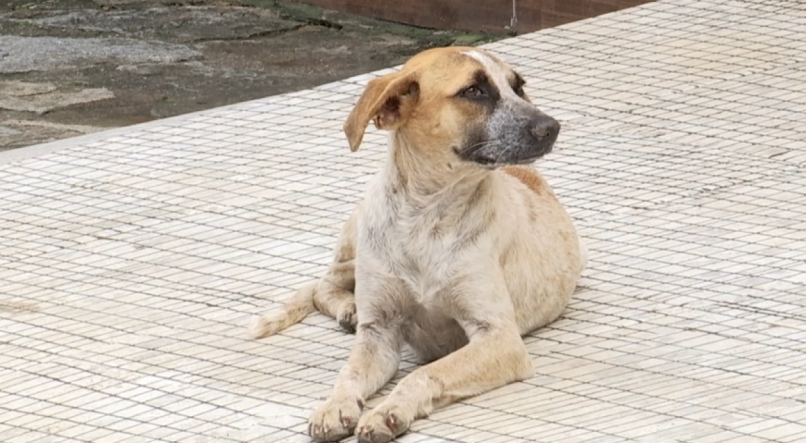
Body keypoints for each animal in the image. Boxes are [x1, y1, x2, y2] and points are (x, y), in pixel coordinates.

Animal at [251, 46, 588, 442]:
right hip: (360, 241)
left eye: (518, 86)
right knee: (324, 282)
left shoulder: (499, 339)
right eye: (474, 91)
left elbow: (425, 373)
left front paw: (388, 410)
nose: (551, 127)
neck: (427, 219)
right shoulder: (379, 335)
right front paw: (335, 405)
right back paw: (349, 309)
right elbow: (348, 374)